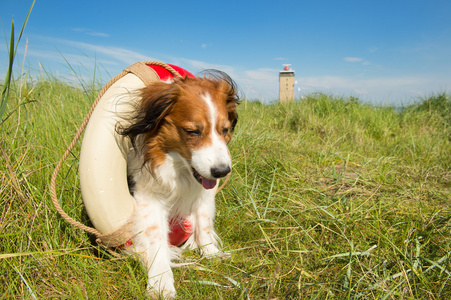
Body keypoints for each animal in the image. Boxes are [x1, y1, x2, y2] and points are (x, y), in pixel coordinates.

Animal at [118, 70, 242, 298]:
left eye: (225, 130)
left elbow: (203, 223)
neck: (179, 168)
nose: (222, 171)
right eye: (192, 131)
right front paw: (160, 282)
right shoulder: (148, 198)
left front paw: (210, 252)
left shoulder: (203, 193)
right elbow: (156, 238)